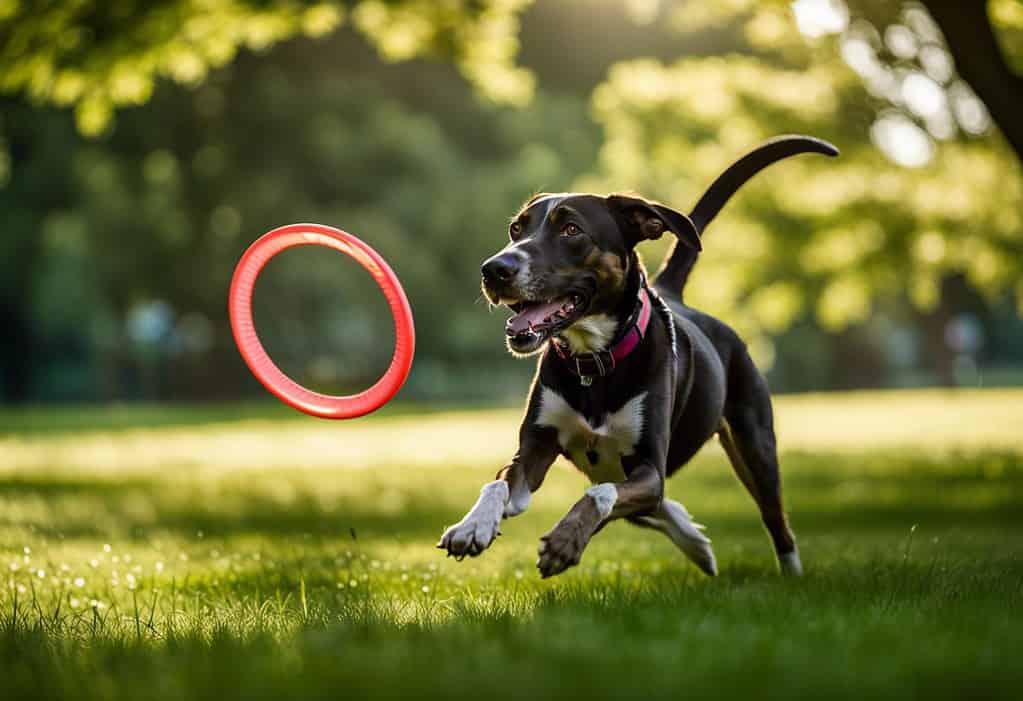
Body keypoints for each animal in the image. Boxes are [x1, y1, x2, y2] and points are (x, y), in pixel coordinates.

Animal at [435, 134, 834, 577]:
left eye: (571, 229)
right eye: (515, 229)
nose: (494, 269)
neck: (594, 362)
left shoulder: (648, 468)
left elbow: (602, 496)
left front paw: (564, 540)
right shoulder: (536, 447)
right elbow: (501, 483)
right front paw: (472, 526)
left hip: (754, 442)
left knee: (773, 517)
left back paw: (789, 574)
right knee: (650, 508)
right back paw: (696, 543)